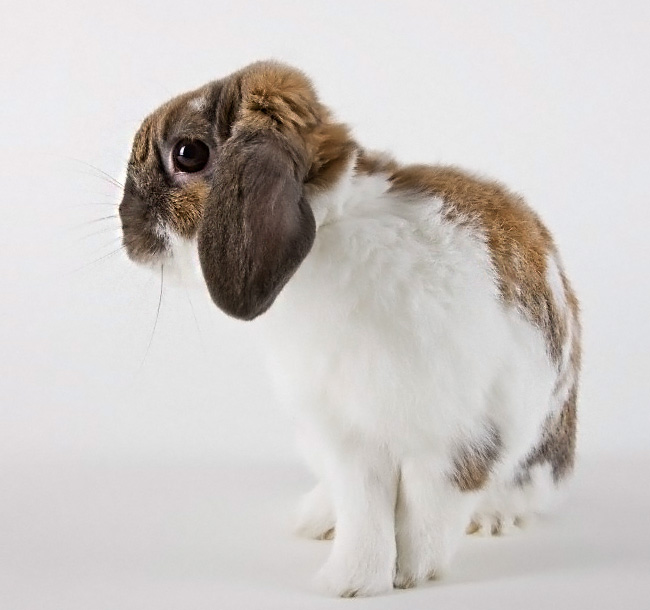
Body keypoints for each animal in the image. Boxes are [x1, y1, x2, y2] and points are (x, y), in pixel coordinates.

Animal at [118, 60, 581, 597]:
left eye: (188, 153)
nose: (126, 228)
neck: (334, 229)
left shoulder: (458, 438)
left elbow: (427, 515)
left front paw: (411, 576)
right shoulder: (348, 436)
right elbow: (366, 514)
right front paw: (350, 583)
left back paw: (493, 519)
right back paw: (315, 519)